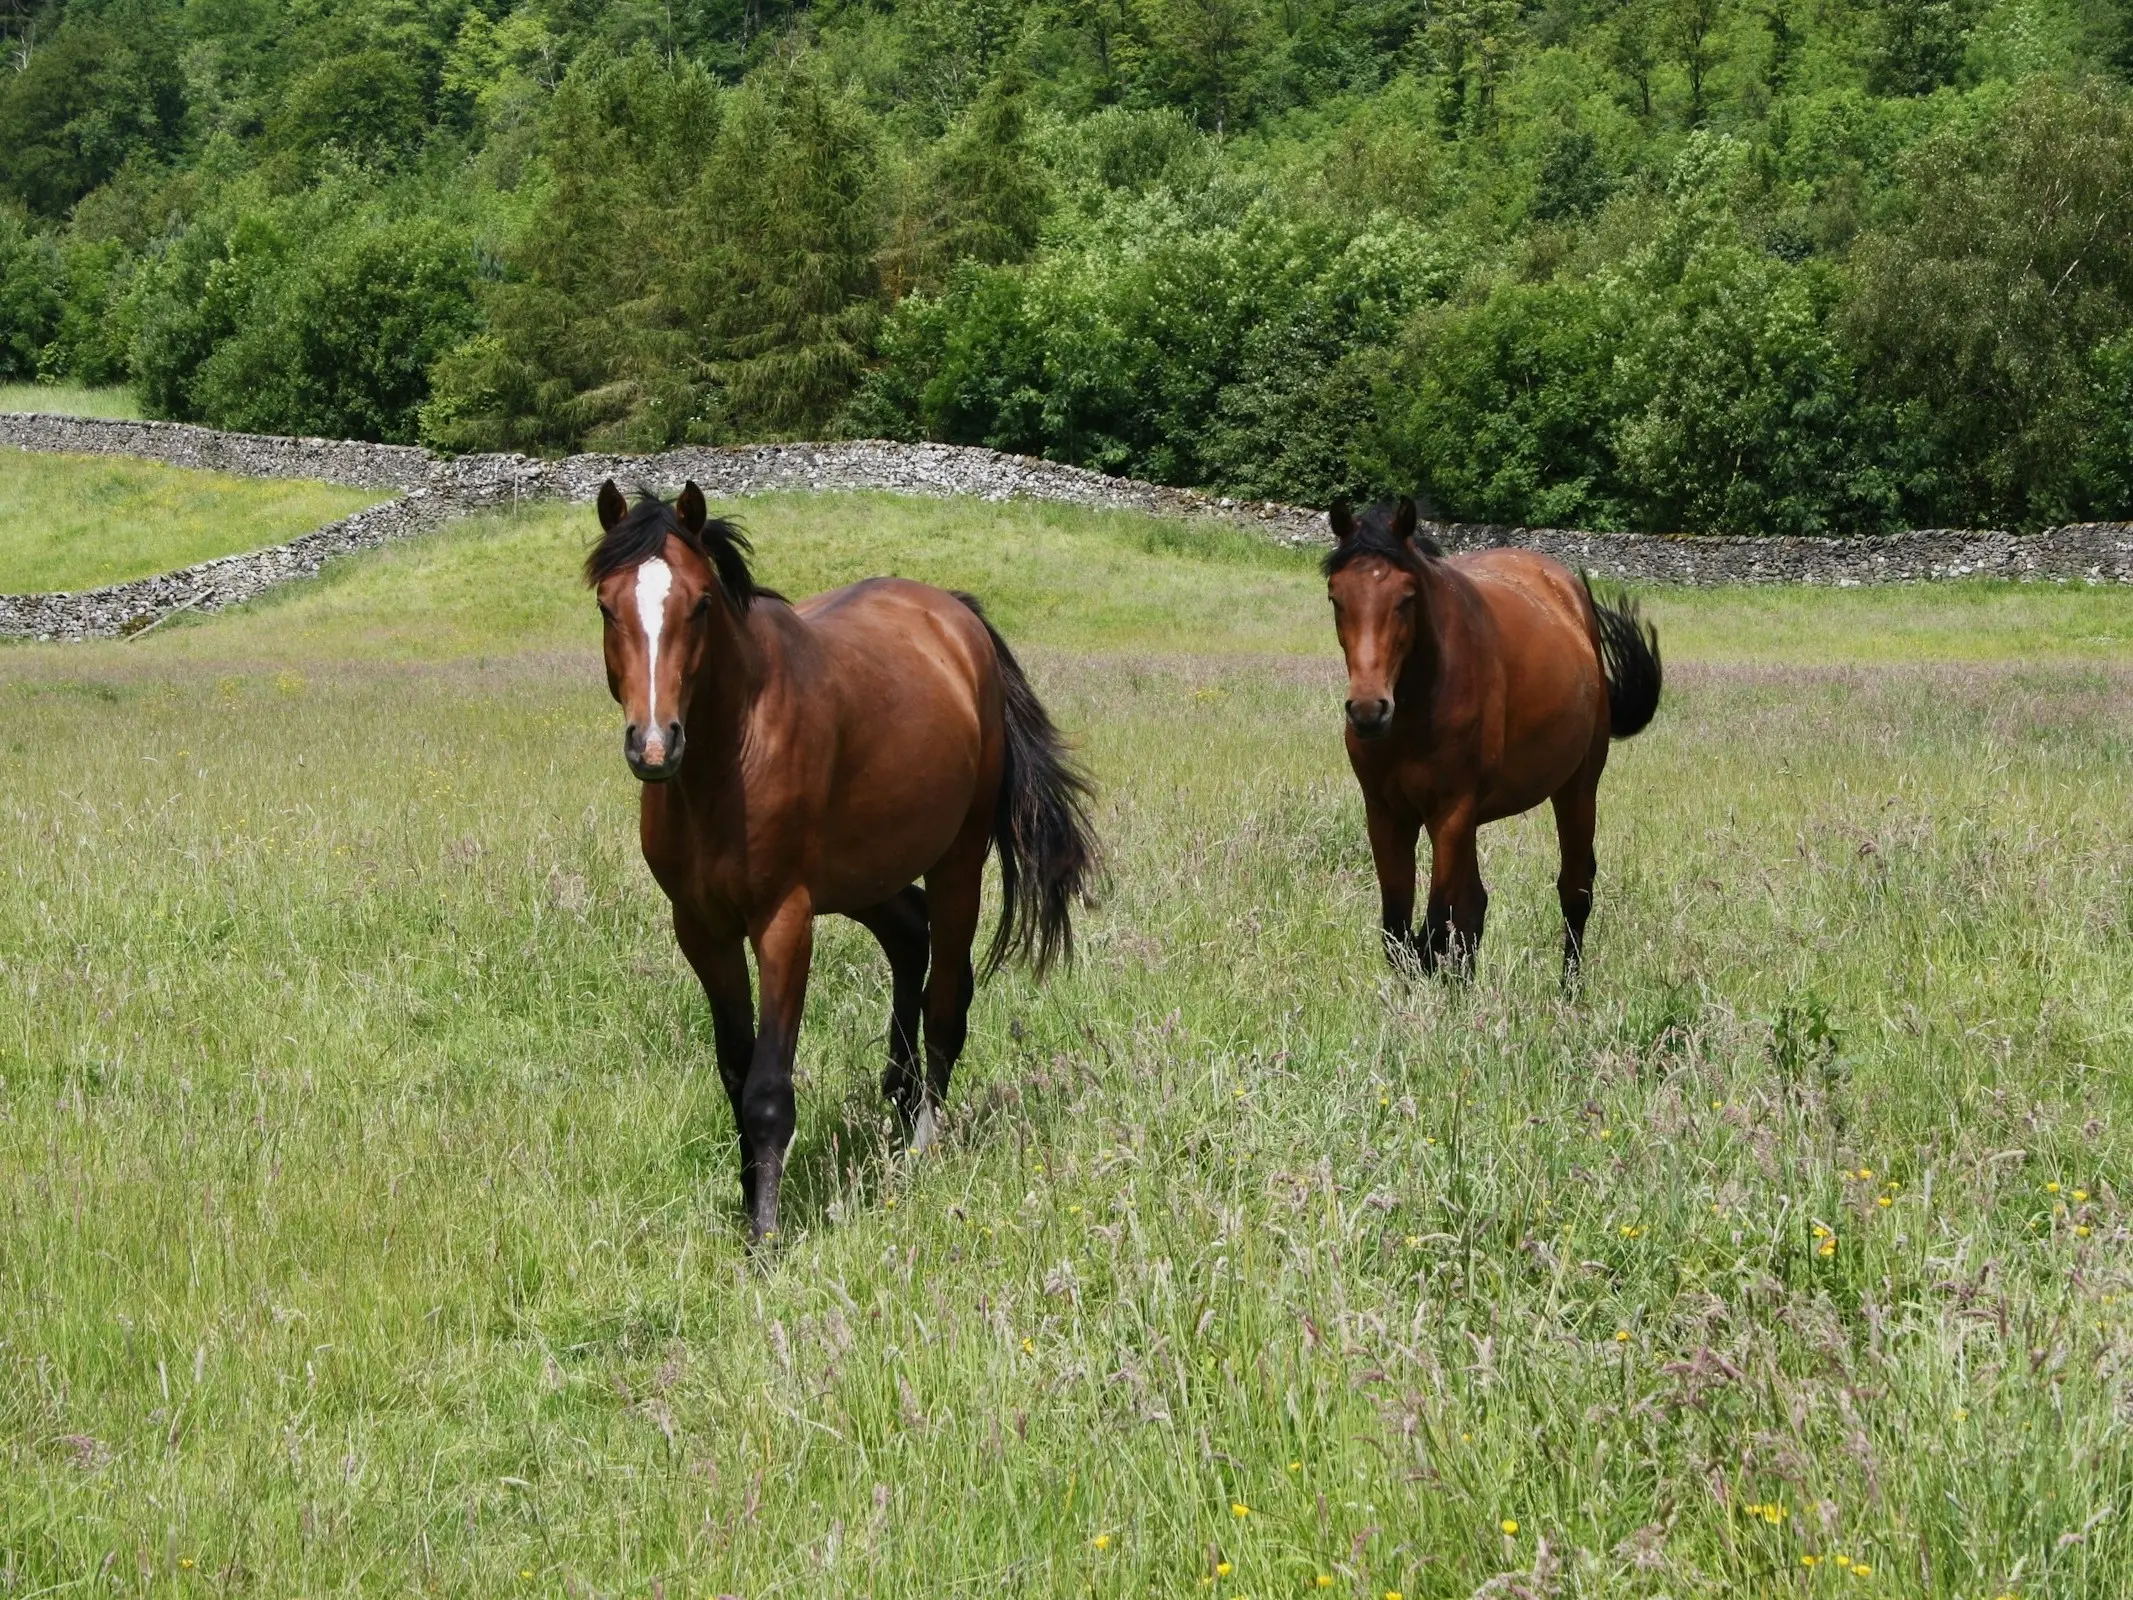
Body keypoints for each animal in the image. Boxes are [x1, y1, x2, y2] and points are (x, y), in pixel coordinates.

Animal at [592, 482, 1109, 1245]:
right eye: (607, 604)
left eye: (701, 603)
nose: (654, 744)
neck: (729, 758)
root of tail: (957, 620)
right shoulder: (701, 927)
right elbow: (734, 1070)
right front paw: (748, 1203)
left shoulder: (783, 921)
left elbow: (767, 1090)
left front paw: (765, 1239)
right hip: (865, 877)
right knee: (910, 937)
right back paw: (896, 1100)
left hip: (954, 863)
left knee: (945, 1003)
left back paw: (919, 1148)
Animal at [1322, 499, 1655, 977]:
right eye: (1336, 597)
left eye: (1406, 598)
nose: (1369, 710)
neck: (1418, 707)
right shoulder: (1386, 814)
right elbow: (1400, 935)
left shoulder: (1451, 812)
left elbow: (1434, 932)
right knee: (1474, 910)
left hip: (1576, 788)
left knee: (1574, 892)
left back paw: (1569, 992)